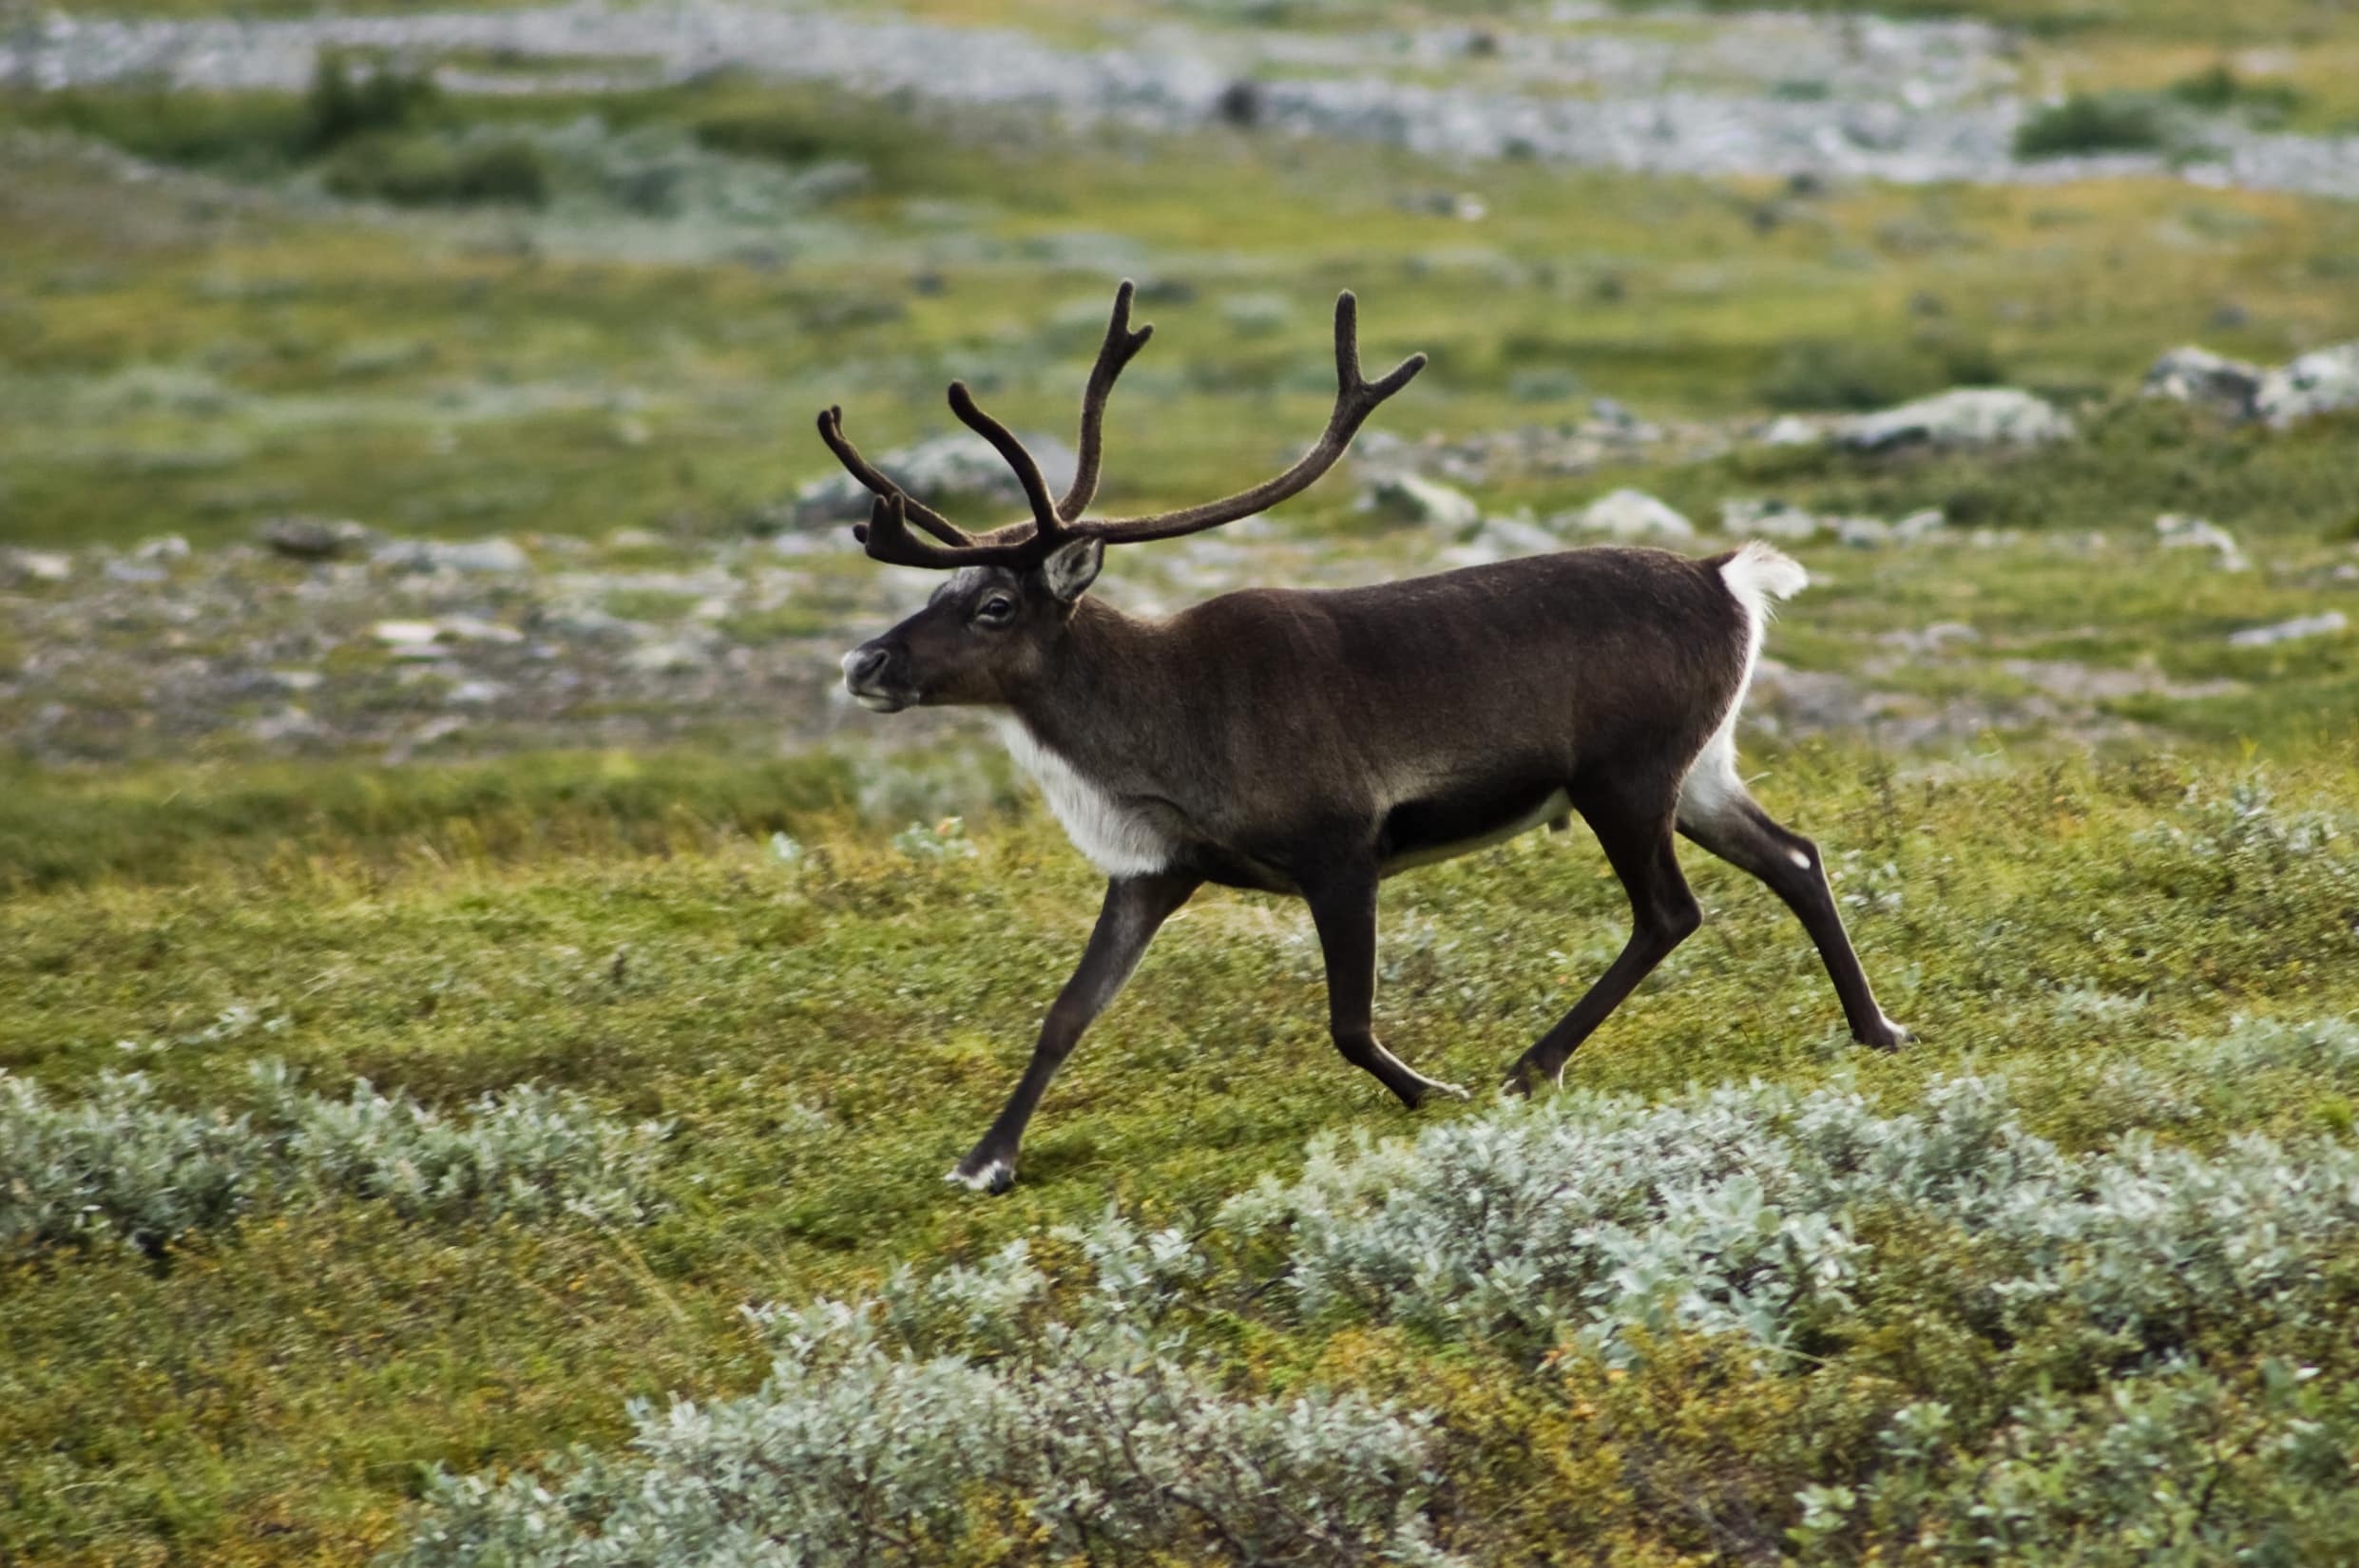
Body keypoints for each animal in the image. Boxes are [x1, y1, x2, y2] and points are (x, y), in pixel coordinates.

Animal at [828, 282, 1908, 1193]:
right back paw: (1876, 1028)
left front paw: (1437, 1092)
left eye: (996, 606)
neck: (1156, 729)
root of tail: (1727, 578)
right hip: (1698, 771)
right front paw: (984, 1160)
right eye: (943, 590)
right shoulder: (1156, 870)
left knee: (1669, 913)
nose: (863, 663)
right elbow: (1064, 1012)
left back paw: (1530, 1065)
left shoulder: (1340, 848)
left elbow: (1347, 1022)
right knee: (1795, 857)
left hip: (1625, 776)